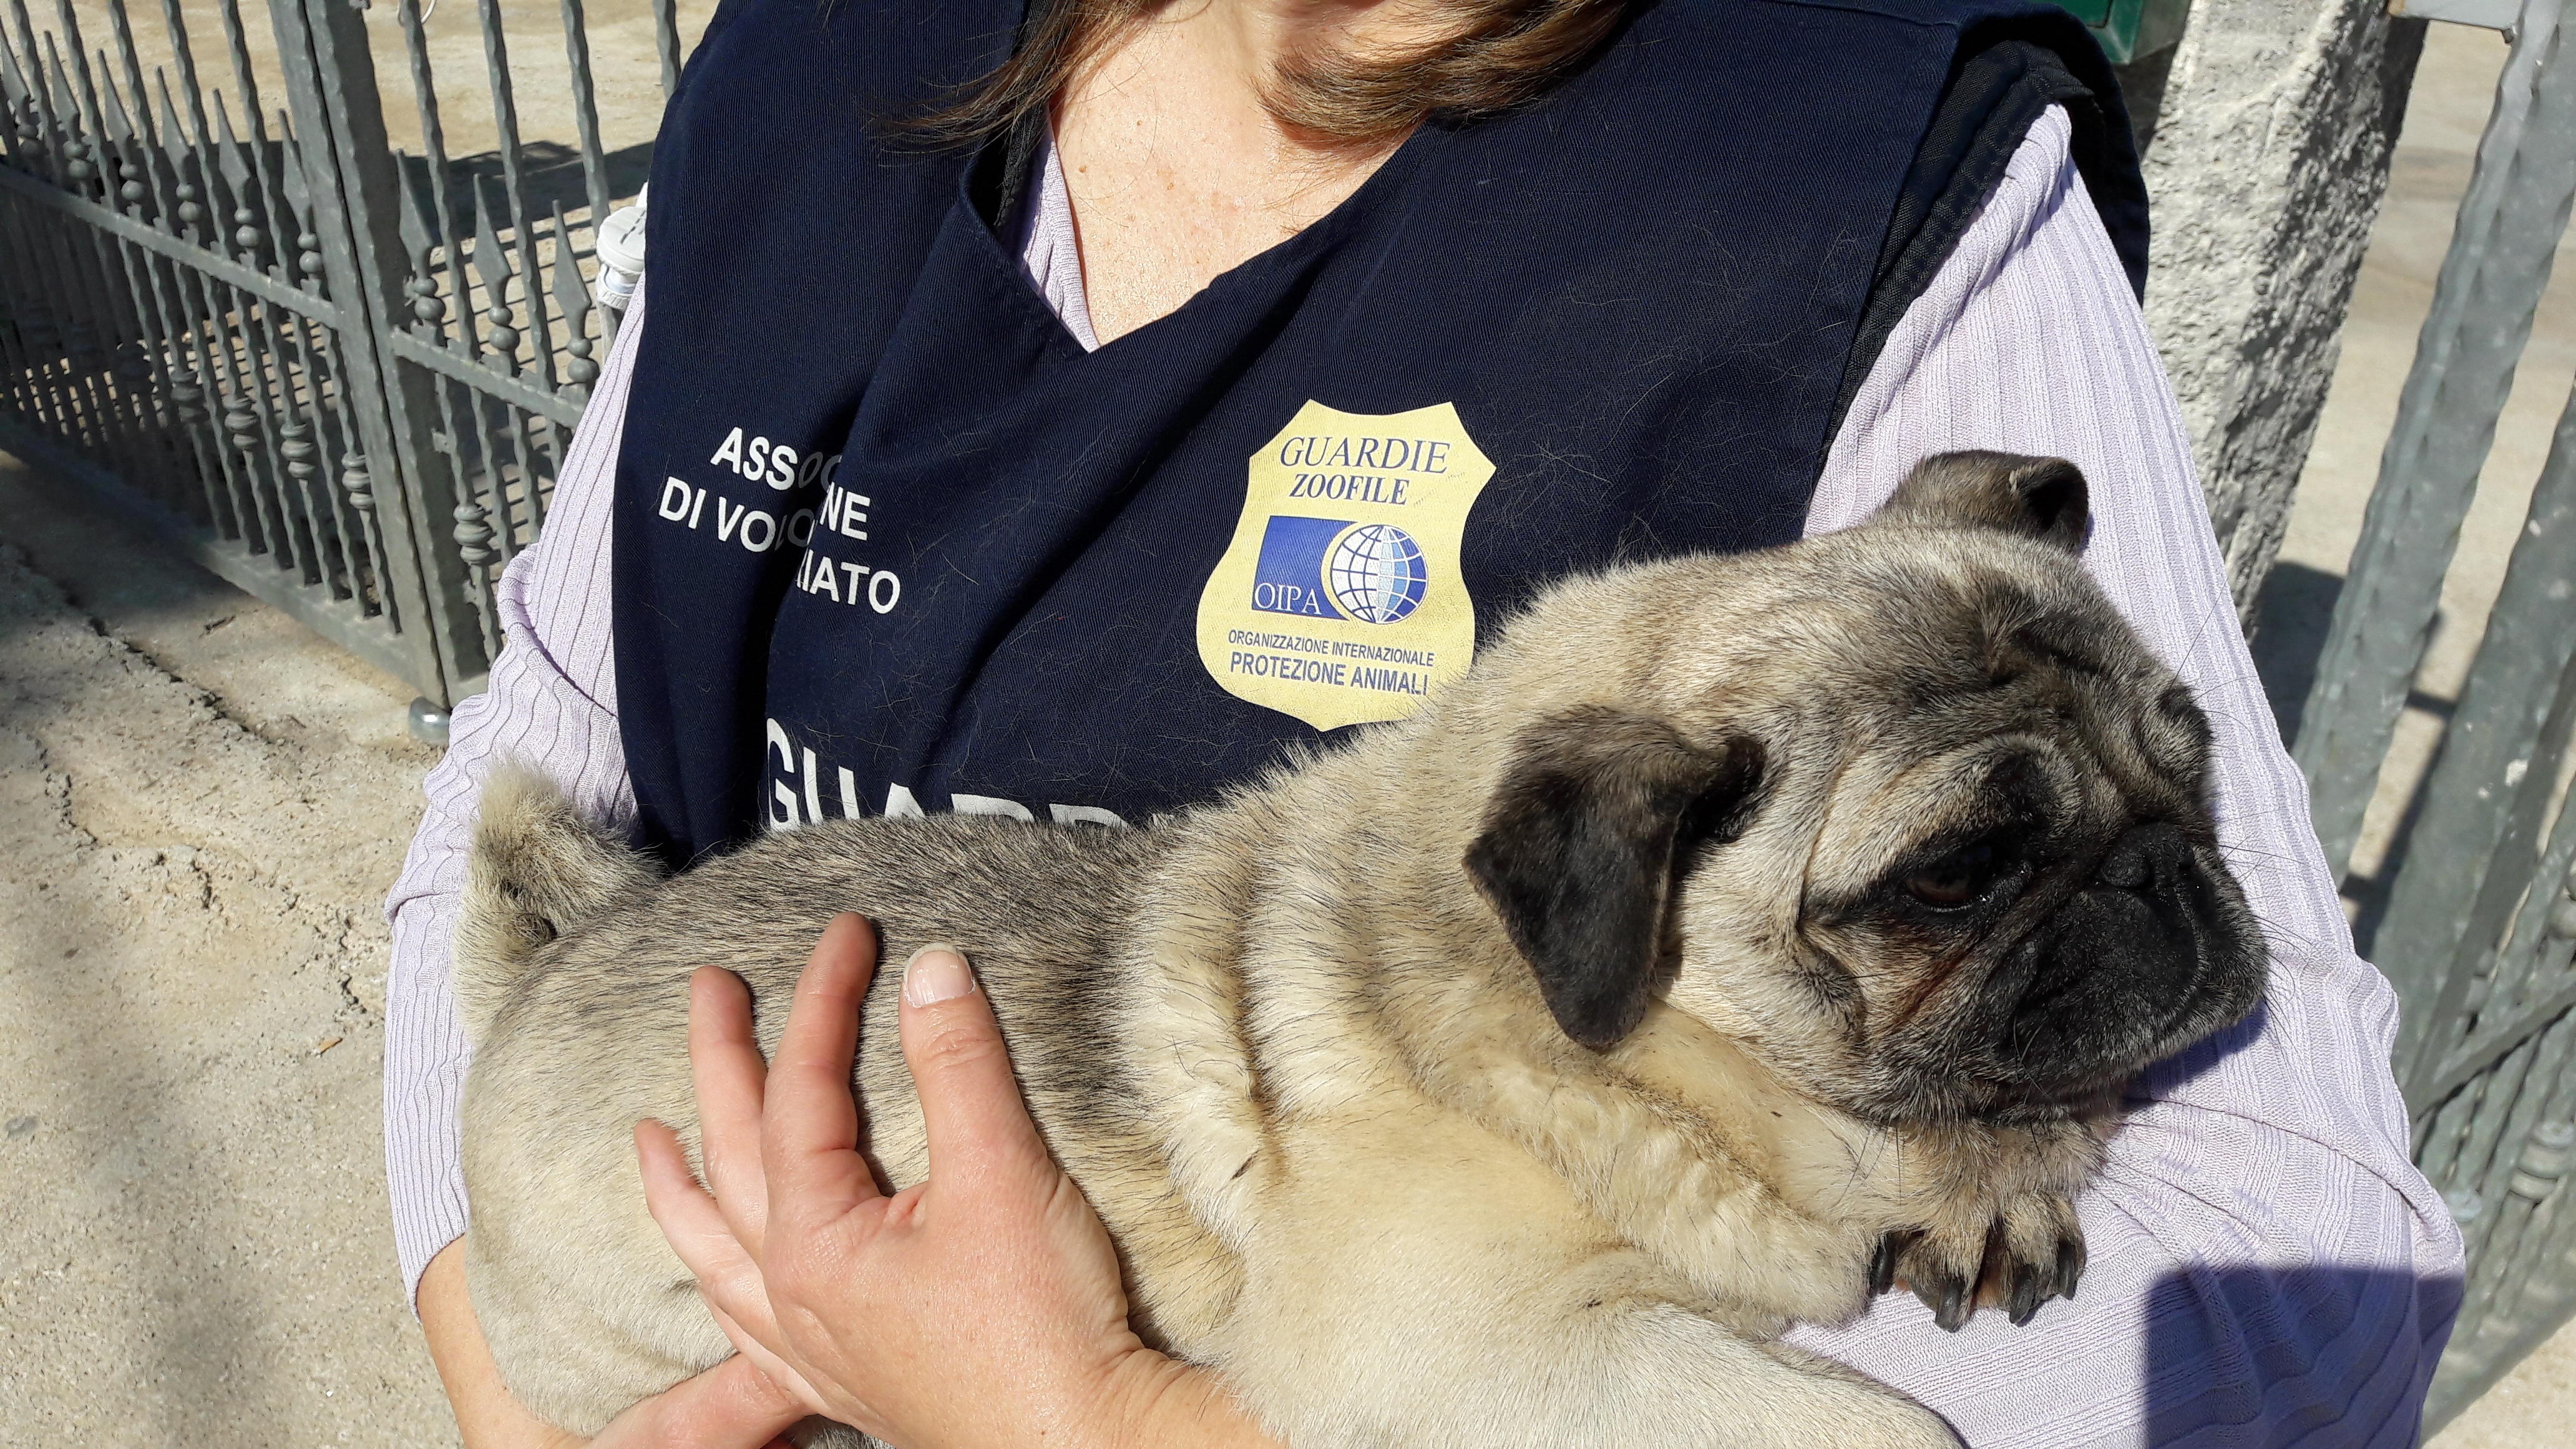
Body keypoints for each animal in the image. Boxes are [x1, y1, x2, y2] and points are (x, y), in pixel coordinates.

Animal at [453, 446, 2266, 1433]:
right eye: (1955, 873)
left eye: (2192, 754)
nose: (2161, 863)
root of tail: (545, 968)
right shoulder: (1492, 1362)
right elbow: (1880, 1429)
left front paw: (1995, 1178)